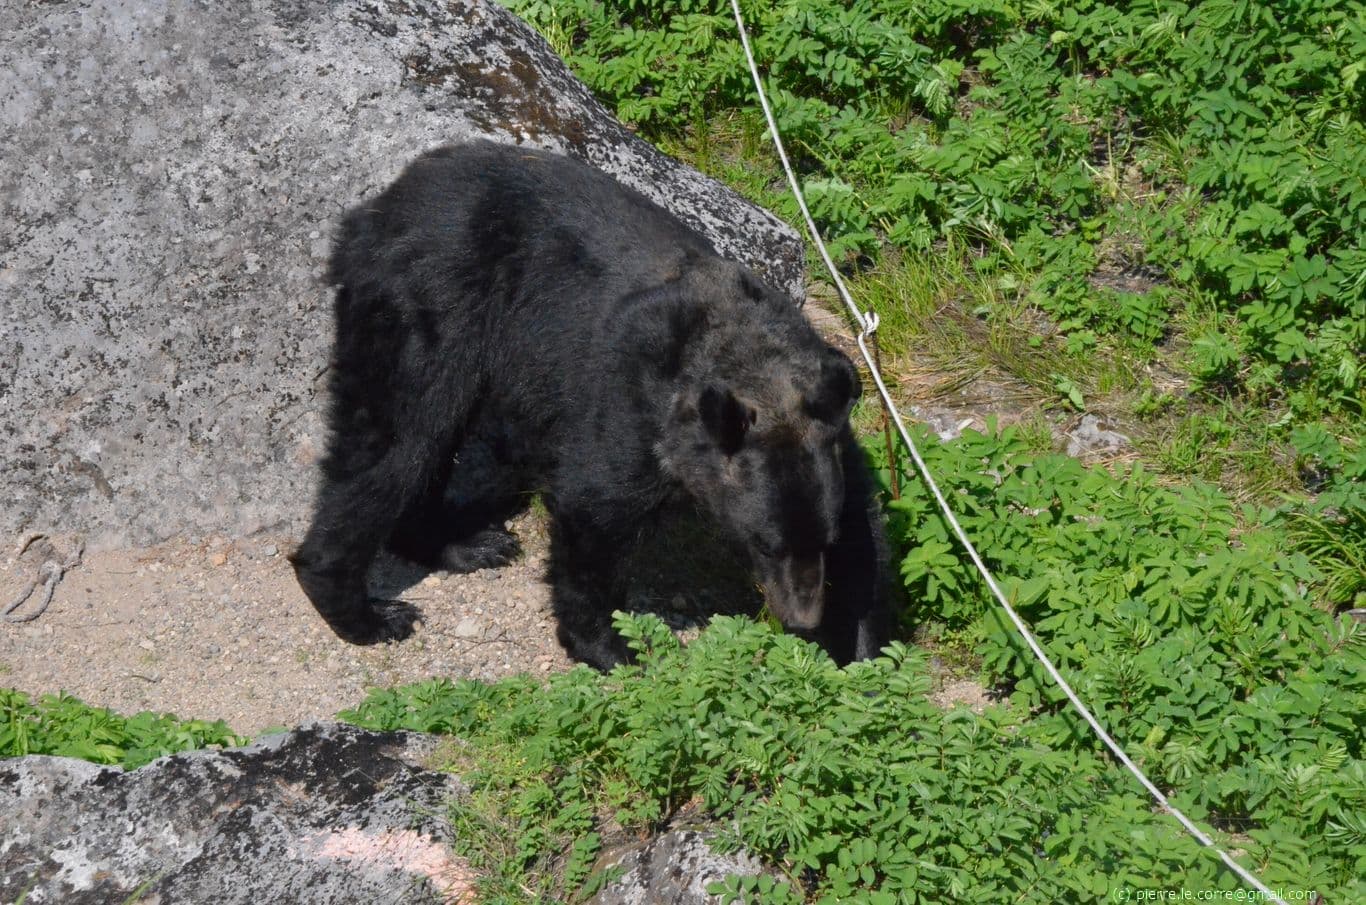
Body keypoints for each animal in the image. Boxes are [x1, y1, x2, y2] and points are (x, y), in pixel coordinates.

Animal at [292, 137, 890, 668]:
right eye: (763, 543)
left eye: (822, 540)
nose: (802, 617)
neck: (741, 353)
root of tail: (372, 211)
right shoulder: (630, 404)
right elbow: (595, 510)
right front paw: (609, 646)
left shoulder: (830, 434)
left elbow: (866, 535)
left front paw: (862, 653)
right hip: (427, 307)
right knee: (398, 441)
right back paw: (361, 609)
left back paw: (465, 544)